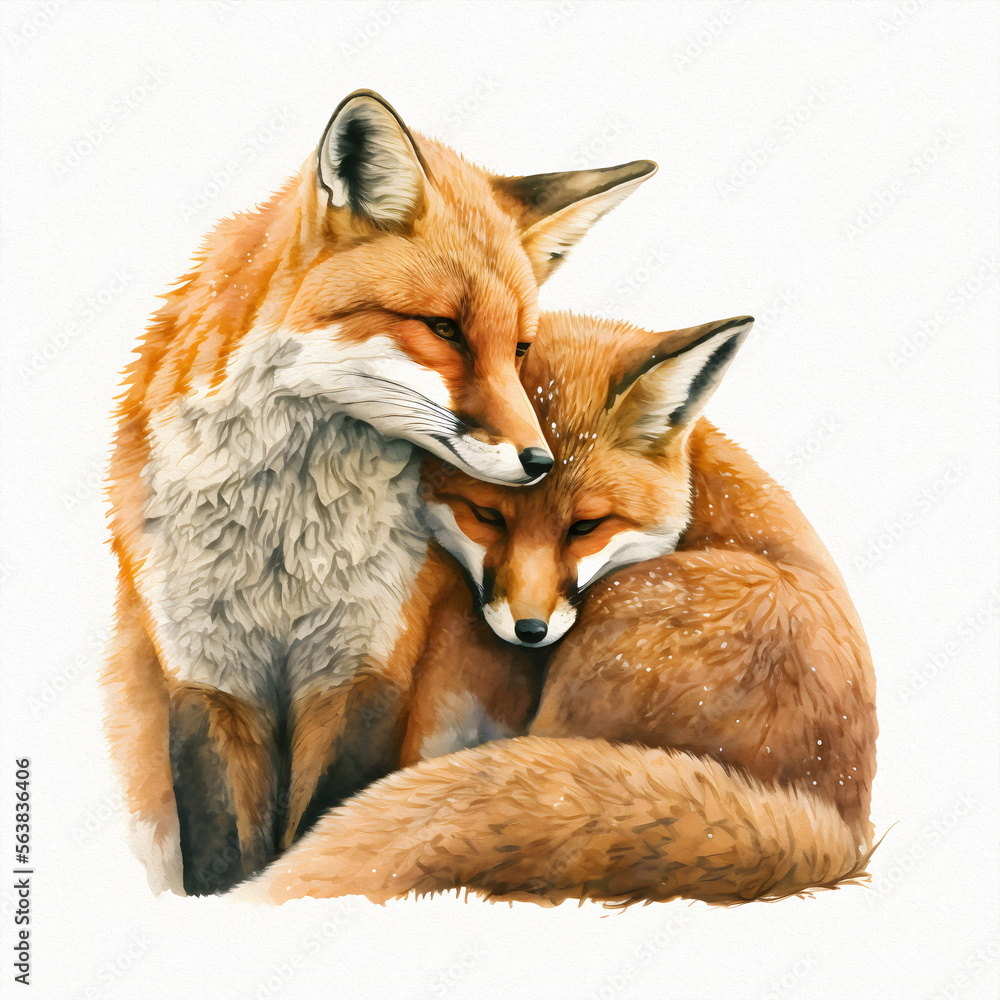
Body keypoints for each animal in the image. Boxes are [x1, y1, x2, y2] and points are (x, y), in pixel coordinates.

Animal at [103, 90, 657, 897]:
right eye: (444, 329)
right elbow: (220, 858)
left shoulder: (368, 669)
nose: (538, 462)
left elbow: (320, 827)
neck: (283, 542)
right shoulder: (206, 674)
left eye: (520, 348)